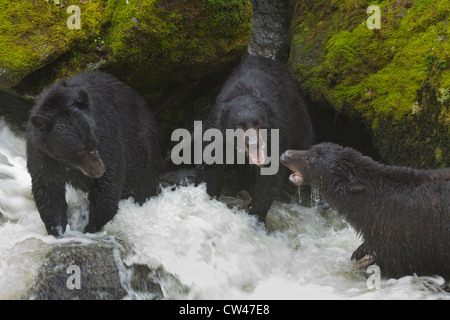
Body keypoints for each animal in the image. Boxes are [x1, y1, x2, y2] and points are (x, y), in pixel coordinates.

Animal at [26, 72, 163, 238]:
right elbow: (48, 189)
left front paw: (90, 228)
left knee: (141, 183)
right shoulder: (42, 154)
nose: (99, 170)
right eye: (80, 150)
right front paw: (57, 230)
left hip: (140, 146)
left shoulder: (106, 131)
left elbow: (109, 183)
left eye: (94, 142)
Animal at [197, 55, 312, 222]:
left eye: (259, 123)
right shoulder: (215, 134)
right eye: (239, 126)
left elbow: (270, 177)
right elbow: (210, 167)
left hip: (298, 116)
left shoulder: (276, 134)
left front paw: (256, 215)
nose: (255, 144)